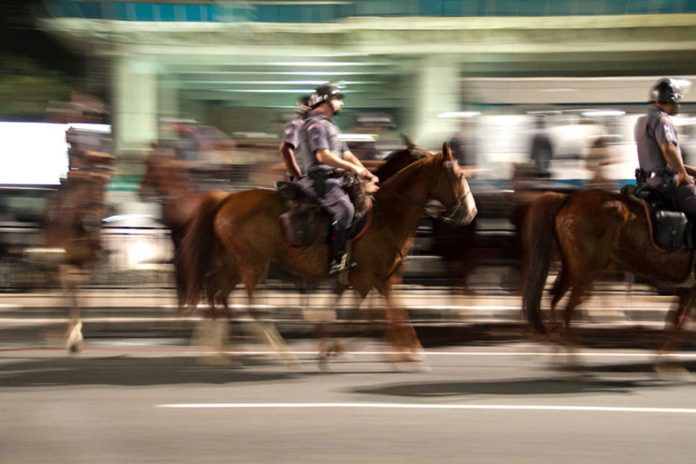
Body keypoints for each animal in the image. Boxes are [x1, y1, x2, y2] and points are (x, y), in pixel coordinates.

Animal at [179, 143, 478, 360]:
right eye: (459, 175)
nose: (471, 212)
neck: (387, 215)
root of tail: (227, 197)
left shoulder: (385, 279)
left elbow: (394, 313)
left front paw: (408, 354)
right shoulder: (364, 280)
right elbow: (360, 316)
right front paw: (330, 346)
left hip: (234, 263)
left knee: (218, 295)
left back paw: (220, 352)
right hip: (254, 264)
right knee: (247, 307)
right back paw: (280, 354)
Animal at [520, 188, 696, 362]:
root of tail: (568, 198)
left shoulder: (688, 289)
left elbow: (677, 319)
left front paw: (662, 360)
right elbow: (680, 320)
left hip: (572, 270)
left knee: (555, 302)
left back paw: (559, 352)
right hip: (585, 272)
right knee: (566, 309)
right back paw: (573, 360)